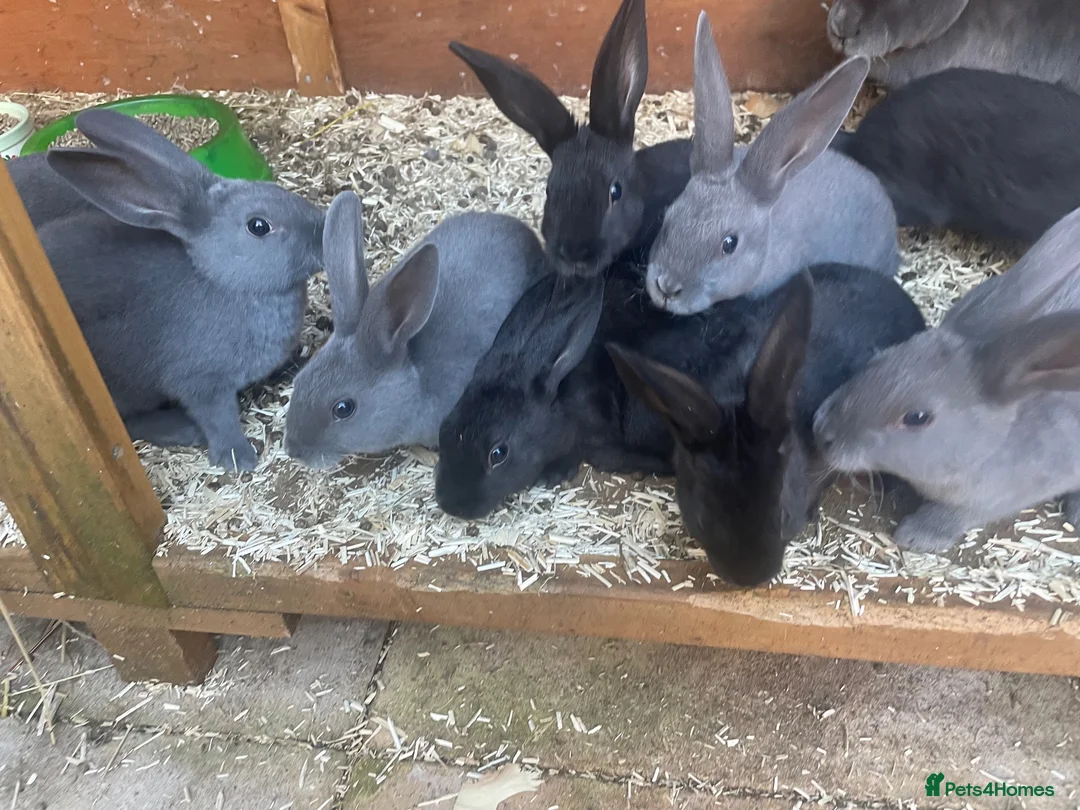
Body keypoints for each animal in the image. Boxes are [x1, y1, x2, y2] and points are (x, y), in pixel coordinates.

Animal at [21, 109, 325, 471]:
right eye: (258, 226)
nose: (324, 228)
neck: (221, 279)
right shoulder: (201, 383)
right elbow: (219, 418)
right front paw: (238, 458)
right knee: (127, 422)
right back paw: (181, 429)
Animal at [813, 205, 1080, 553]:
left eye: (917, 417)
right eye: (878, 358)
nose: (821, 431)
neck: (992, 444)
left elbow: (954, 515)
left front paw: (915, 535)